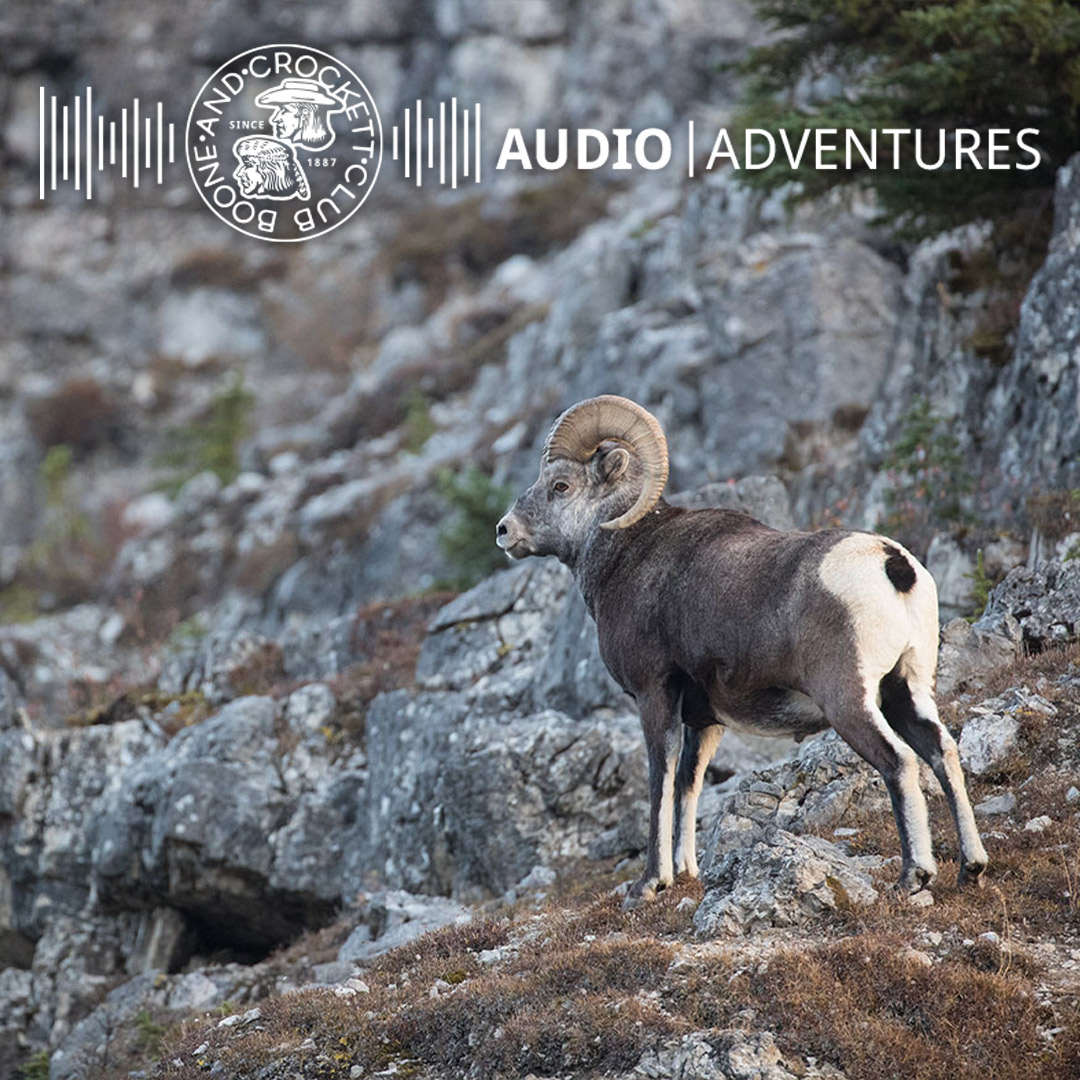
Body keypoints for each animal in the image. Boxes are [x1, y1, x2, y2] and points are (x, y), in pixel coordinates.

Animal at [496, 395, 988, 908]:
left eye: (561, 485)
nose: (504, 531)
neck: (627, 555)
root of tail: (892, 564)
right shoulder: (705, 720)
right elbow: (688, 785)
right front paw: (687, 873)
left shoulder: (655, 695)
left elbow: (660, 782)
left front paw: (650, 883)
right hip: (905, 690)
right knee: (941, 751)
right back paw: (970, 869)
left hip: (849, 700)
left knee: (900, 762)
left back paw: (914, 876)